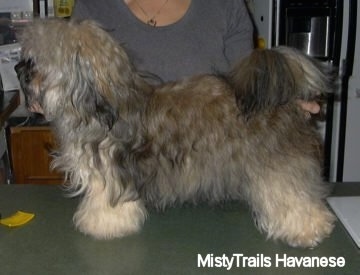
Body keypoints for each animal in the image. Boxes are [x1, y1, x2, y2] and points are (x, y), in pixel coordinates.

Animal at [14, 18, 334, 248]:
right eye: (26, 58)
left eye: (37, 62)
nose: (18, 68)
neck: (102, 107)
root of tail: (283, 99)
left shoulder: (111, 175)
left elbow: (106, 205)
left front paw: (102, 225)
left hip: (276, 168)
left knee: (293, 196)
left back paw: (309, 230)